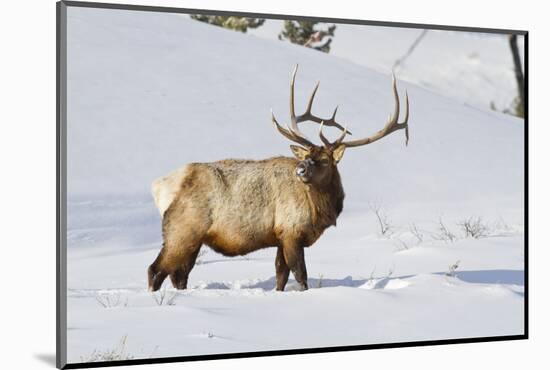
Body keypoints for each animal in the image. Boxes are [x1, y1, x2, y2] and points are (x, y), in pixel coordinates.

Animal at [147, 66, 410, 292]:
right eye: (308, 156)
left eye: (325, 160)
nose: (301, 170)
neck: (321, 210)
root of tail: (160, 186)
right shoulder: (292, 232)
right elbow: (301, 275)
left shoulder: (280, 237)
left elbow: (280, 276)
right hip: (182, 229)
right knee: (156, 269)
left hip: (193, 237)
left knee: (179, 274)